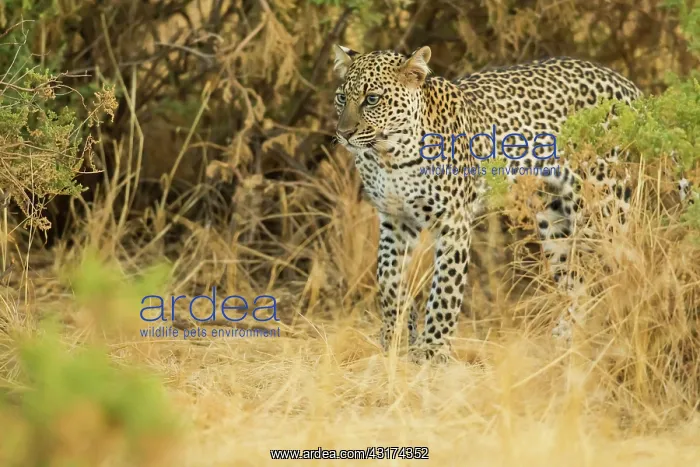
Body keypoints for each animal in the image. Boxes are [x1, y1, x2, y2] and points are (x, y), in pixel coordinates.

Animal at [331, 44, 694, 363]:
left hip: (602, 210)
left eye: (372, 99)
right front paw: (394, 340)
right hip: (554, 218)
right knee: (579, 284)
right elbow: (389, 282)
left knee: (622, 273)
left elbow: (444, 293)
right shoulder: (394, 220)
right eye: (341, 98)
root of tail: (627, 86)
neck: (388, 156)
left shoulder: (453, 223)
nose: (343, 133)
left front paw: (432, 352)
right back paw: (563, 342)